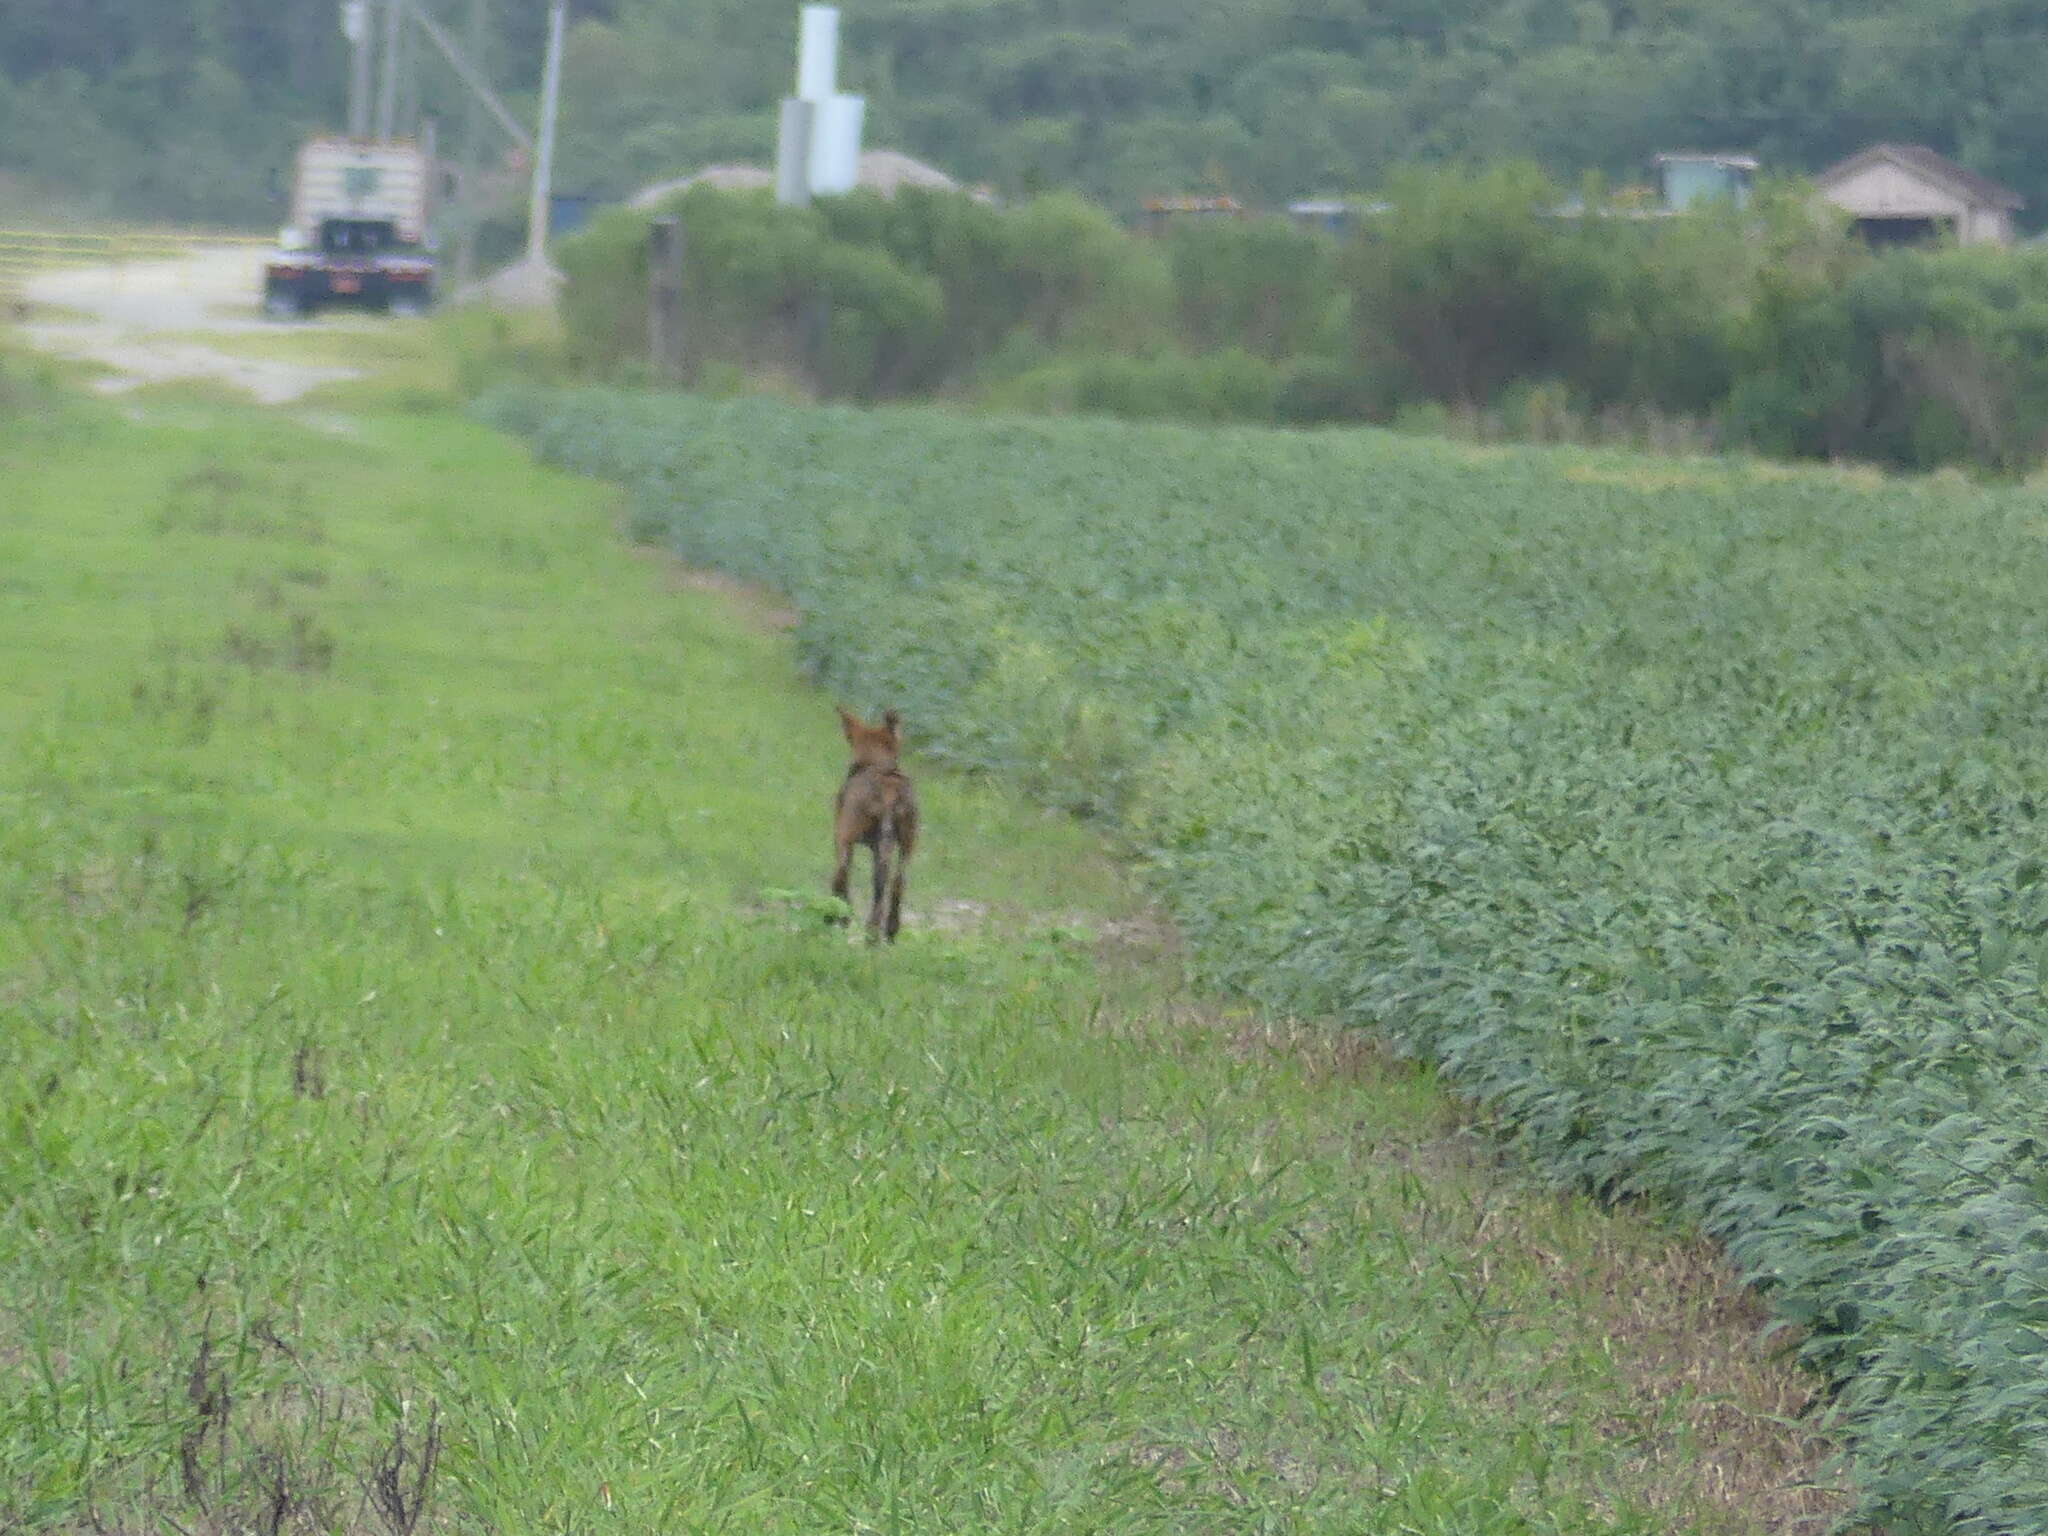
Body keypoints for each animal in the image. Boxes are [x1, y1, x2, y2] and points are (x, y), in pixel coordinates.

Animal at [835, 708, 925, 946]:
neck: (876, 761)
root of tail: (888, 788)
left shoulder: (842, 837)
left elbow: (839, 880)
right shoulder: (881, 847)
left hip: (848, 836)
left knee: (846, 875)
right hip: (906, 843)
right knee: (895, 884)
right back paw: (885, 932)